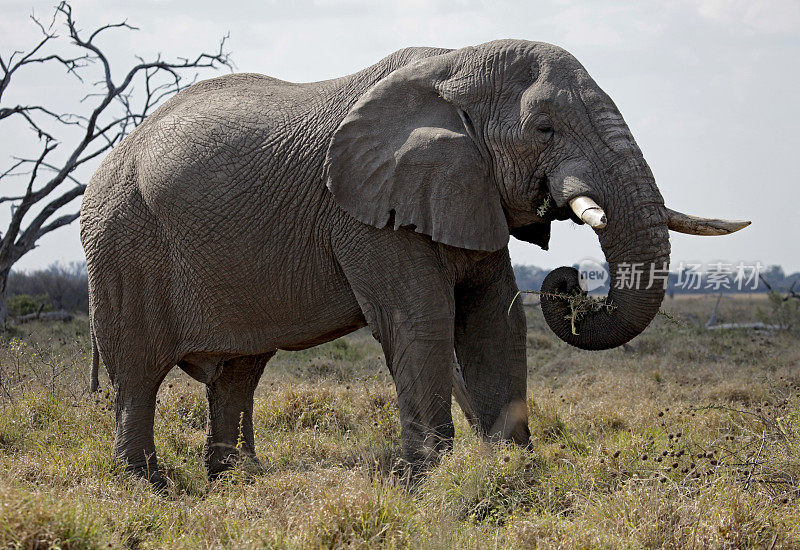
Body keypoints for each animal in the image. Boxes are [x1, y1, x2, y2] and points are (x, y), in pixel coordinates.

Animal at [78, 40, 748, 488]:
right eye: (545, 128)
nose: (569, 281)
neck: (453, 70)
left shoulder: (468, 190)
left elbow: (496, 320)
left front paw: (513, 471)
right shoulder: (366, 213)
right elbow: (420, 320)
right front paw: (430, 482)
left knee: (239, 371)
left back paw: (238, 481)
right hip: (122, 242)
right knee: (137, 372)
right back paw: (150, 487)